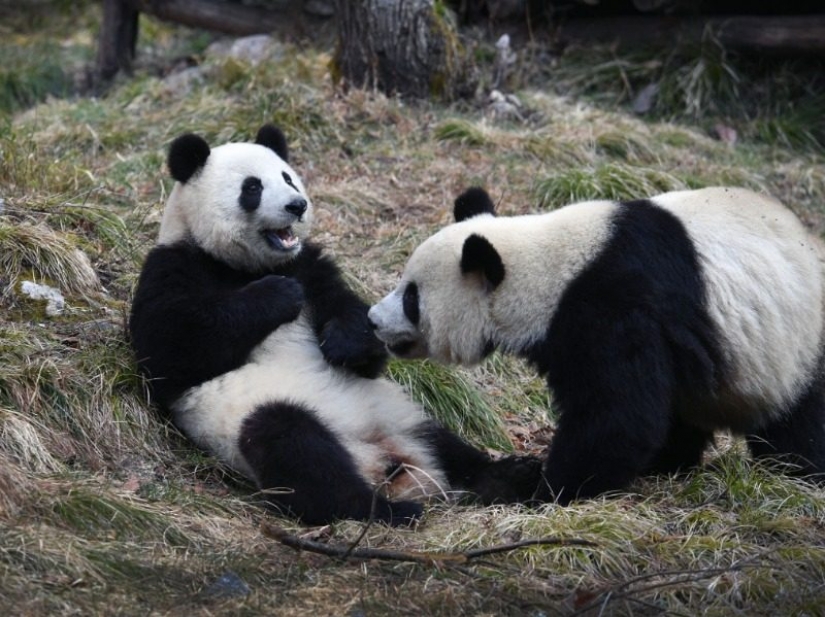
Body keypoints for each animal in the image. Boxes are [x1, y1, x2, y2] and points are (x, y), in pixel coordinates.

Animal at [129, 126, 539, 526]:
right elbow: (173, 350)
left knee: (449, 447)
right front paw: (279, 293)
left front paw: (343, 346)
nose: (296, 205)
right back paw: (385, 510)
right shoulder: (173, 268)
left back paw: (514, 476)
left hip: (399, 412)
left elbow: (353, 319)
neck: (241, 266)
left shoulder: (309, 265)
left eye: (288, 178)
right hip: (252, 417)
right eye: (252, 188)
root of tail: (383, 462)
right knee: (298, 452)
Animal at [368, 186, 825, 505]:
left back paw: (796, 475)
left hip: (799, 346)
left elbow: (618, 415)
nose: (373, 319)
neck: (550, 265)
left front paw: (549, 491)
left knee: (798, 424)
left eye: (411, 298)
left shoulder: (612, 309)